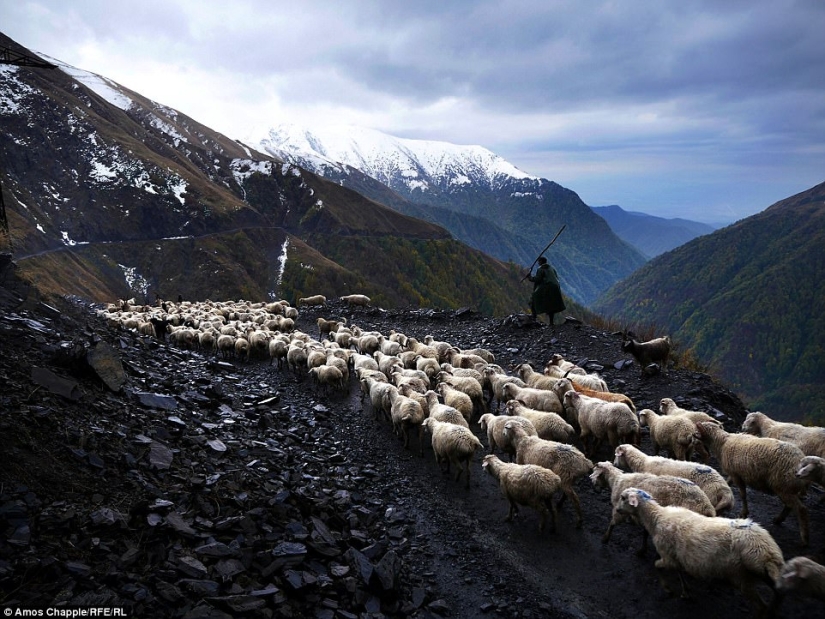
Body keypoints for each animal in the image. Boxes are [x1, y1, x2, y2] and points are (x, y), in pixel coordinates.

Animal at [616, 490, 784, 616]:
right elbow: (679, 573)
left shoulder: (667, 557)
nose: (617, 510)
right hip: (761, 574)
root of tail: (768, 552)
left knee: (761, 606)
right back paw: (774, 609)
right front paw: (685, 591)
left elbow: (657, 566)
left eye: (623, 498)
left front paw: (668, 589)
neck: (657, 518)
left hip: (741, 576)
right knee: (777, 593)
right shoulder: (677, 556)